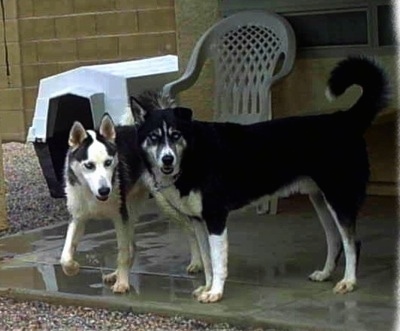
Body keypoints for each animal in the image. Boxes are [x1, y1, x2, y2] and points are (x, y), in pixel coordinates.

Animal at [131, 57, 390, 304]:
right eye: (154, 137)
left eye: (175, 135)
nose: (167, 159)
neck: (193, 155)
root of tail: (344, 119)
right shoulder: (198, 220)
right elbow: (206, 261)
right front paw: (207, 286)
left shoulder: (215, 218)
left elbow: (217, 260)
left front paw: (215, 292)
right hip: (320, 199)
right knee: (335, 240)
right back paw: (325, 273)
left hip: (339, 197)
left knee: (352, 243)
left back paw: (349, 281)